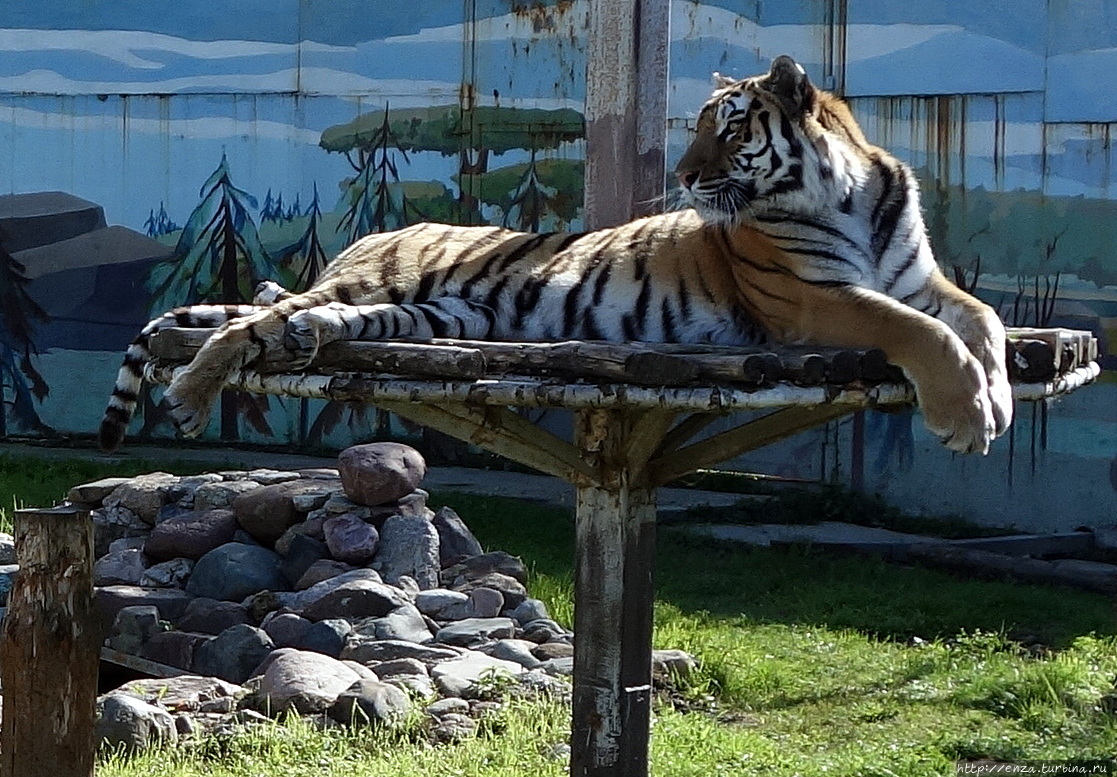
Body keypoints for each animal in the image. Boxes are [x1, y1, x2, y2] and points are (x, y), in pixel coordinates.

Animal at [102, 59, 1014, 455]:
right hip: (377, 286)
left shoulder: (922, 280)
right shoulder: (811, 297)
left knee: (297, 315)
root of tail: (367, 237)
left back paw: (307, 335)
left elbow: (984, 321)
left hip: (437, 312)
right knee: (244, 325)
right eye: (696, 127)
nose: (684, 175)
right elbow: (919, 332)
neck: (850, 192)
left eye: (727, 128)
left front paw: (994, 397)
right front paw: (965, 413)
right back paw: (192, 391)